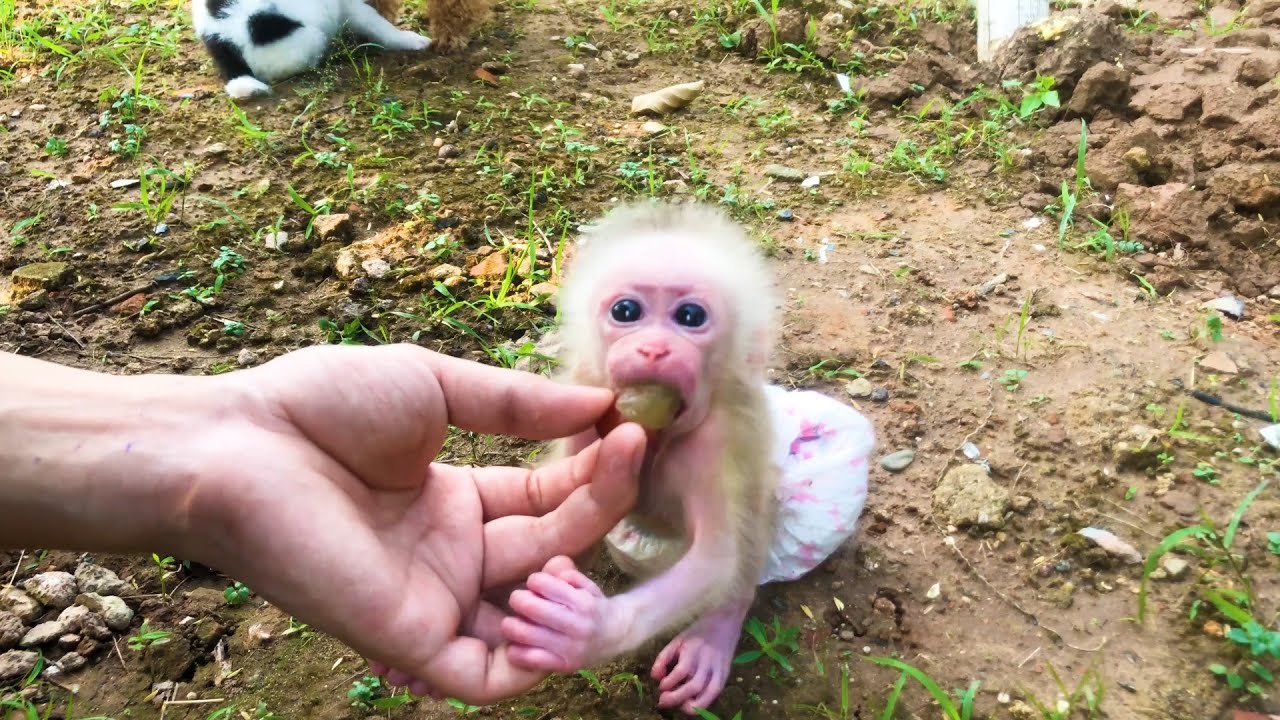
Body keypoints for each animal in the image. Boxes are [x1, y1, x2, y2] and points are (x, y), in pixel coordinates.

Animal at [498, 200, 877, 715]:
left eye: (691, 316)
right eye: (626, 311)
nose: (654, 348)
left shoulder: (713, 442)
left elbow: (715, 557)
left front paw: (592, 631)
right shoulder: (583, 394)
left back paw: (716, 631)